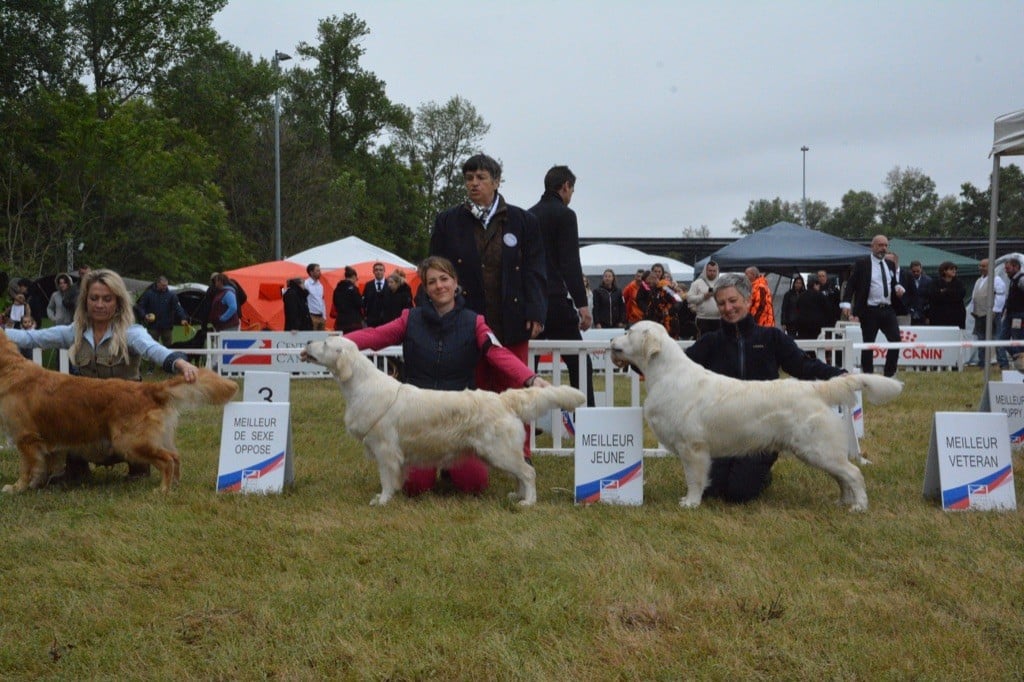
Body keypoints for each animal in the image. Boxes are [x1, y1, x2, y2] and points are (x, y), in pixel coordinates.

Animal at [0, 329, 237, 489]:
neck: (10, 369)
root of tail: (148, 388)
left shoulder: (25, 437)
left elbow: (27, 467)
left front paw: (18, 487)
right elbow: (44, 465)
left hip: (129, 441)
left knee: (167, 459)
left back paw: (162, 489)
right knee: (175, 456)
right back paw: (174, 486)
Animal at [301, 333, 585, 503]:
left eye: (325, 344)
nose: (307, 342)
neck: (360, 384)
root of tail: (503, 399)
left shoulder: (385, 448)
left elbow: (386, 478)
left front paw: (382, 500)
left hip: (499, 450)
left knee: (528, 471)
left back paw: (528, 501)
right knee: (520, 473)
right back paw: (517, 495)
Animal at [610, 321, 901, 507]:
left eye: (629, 331)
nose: (610, 340)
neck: (667, 373)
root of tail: (814, 387)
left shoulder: (693, 447)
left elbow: (694, 478)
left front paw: (690, 503)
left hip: (818, 448)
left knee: (853, 473)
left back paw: (859, 506)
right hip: (818, 451)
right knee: (842, 477)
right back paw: (842, 501)